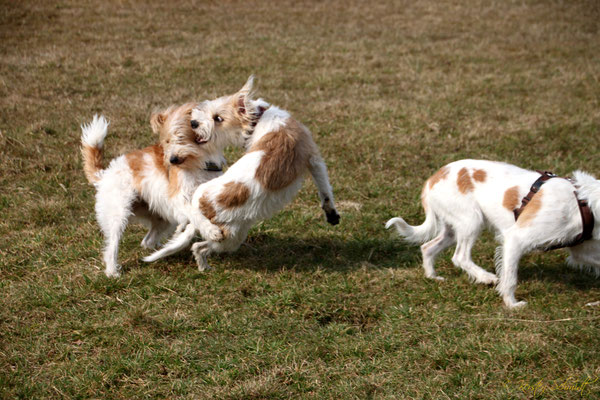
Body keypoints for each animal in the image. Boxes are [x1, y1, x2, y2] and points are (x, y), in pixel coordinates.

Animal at [82, 102, 227, 278]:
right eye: (166, 141)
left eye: (180, 137)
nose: (172, 160)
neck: (200, 161)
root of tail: (104, 174)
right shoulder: (178, 199)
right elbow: (195, 214)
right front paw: (211, 230)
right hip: (118, 216)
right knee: (112, 247)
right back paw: (112, 271)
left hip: (164, 220)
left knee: (147, 241)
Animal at [141, 76, 338, 268]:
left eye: (217, 118)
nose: (194, 123)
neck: (259, 118)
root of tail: (201, 202)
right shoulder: (314, 159)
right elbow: (325, 190)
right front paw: (332, 215)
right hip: (230, 237)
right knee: (198, 246)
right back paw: (204, 266)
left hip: (233, 231)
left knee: (199, 246)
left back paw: (203, 267)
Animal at [386, 158, 596, 308]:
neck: (584, 204)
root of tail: (432, 180)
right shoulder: (515, 239)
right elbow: (509, 278)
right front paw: (512, 304)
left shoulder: (582, 250)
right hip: (471, 220)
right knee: (460, 257)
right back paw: (486, 277)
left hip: (453, 229)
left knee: (427, 247)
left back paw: (432, 276)